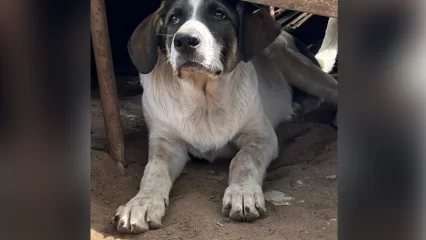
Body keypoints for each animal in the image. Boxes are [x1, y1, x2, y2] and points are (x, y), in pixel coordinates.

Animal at [114, 0, 340, 232]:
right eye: (174, 18)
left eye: (219, 14)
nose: (185, 41)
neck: (204, 99)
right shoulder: (166, 142)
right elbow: (154, 171)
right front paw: (141, 203)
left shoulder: (261, 136)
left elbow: (243, 160)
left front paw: (243, 192)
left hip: (293, 64)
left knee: (333, 89)